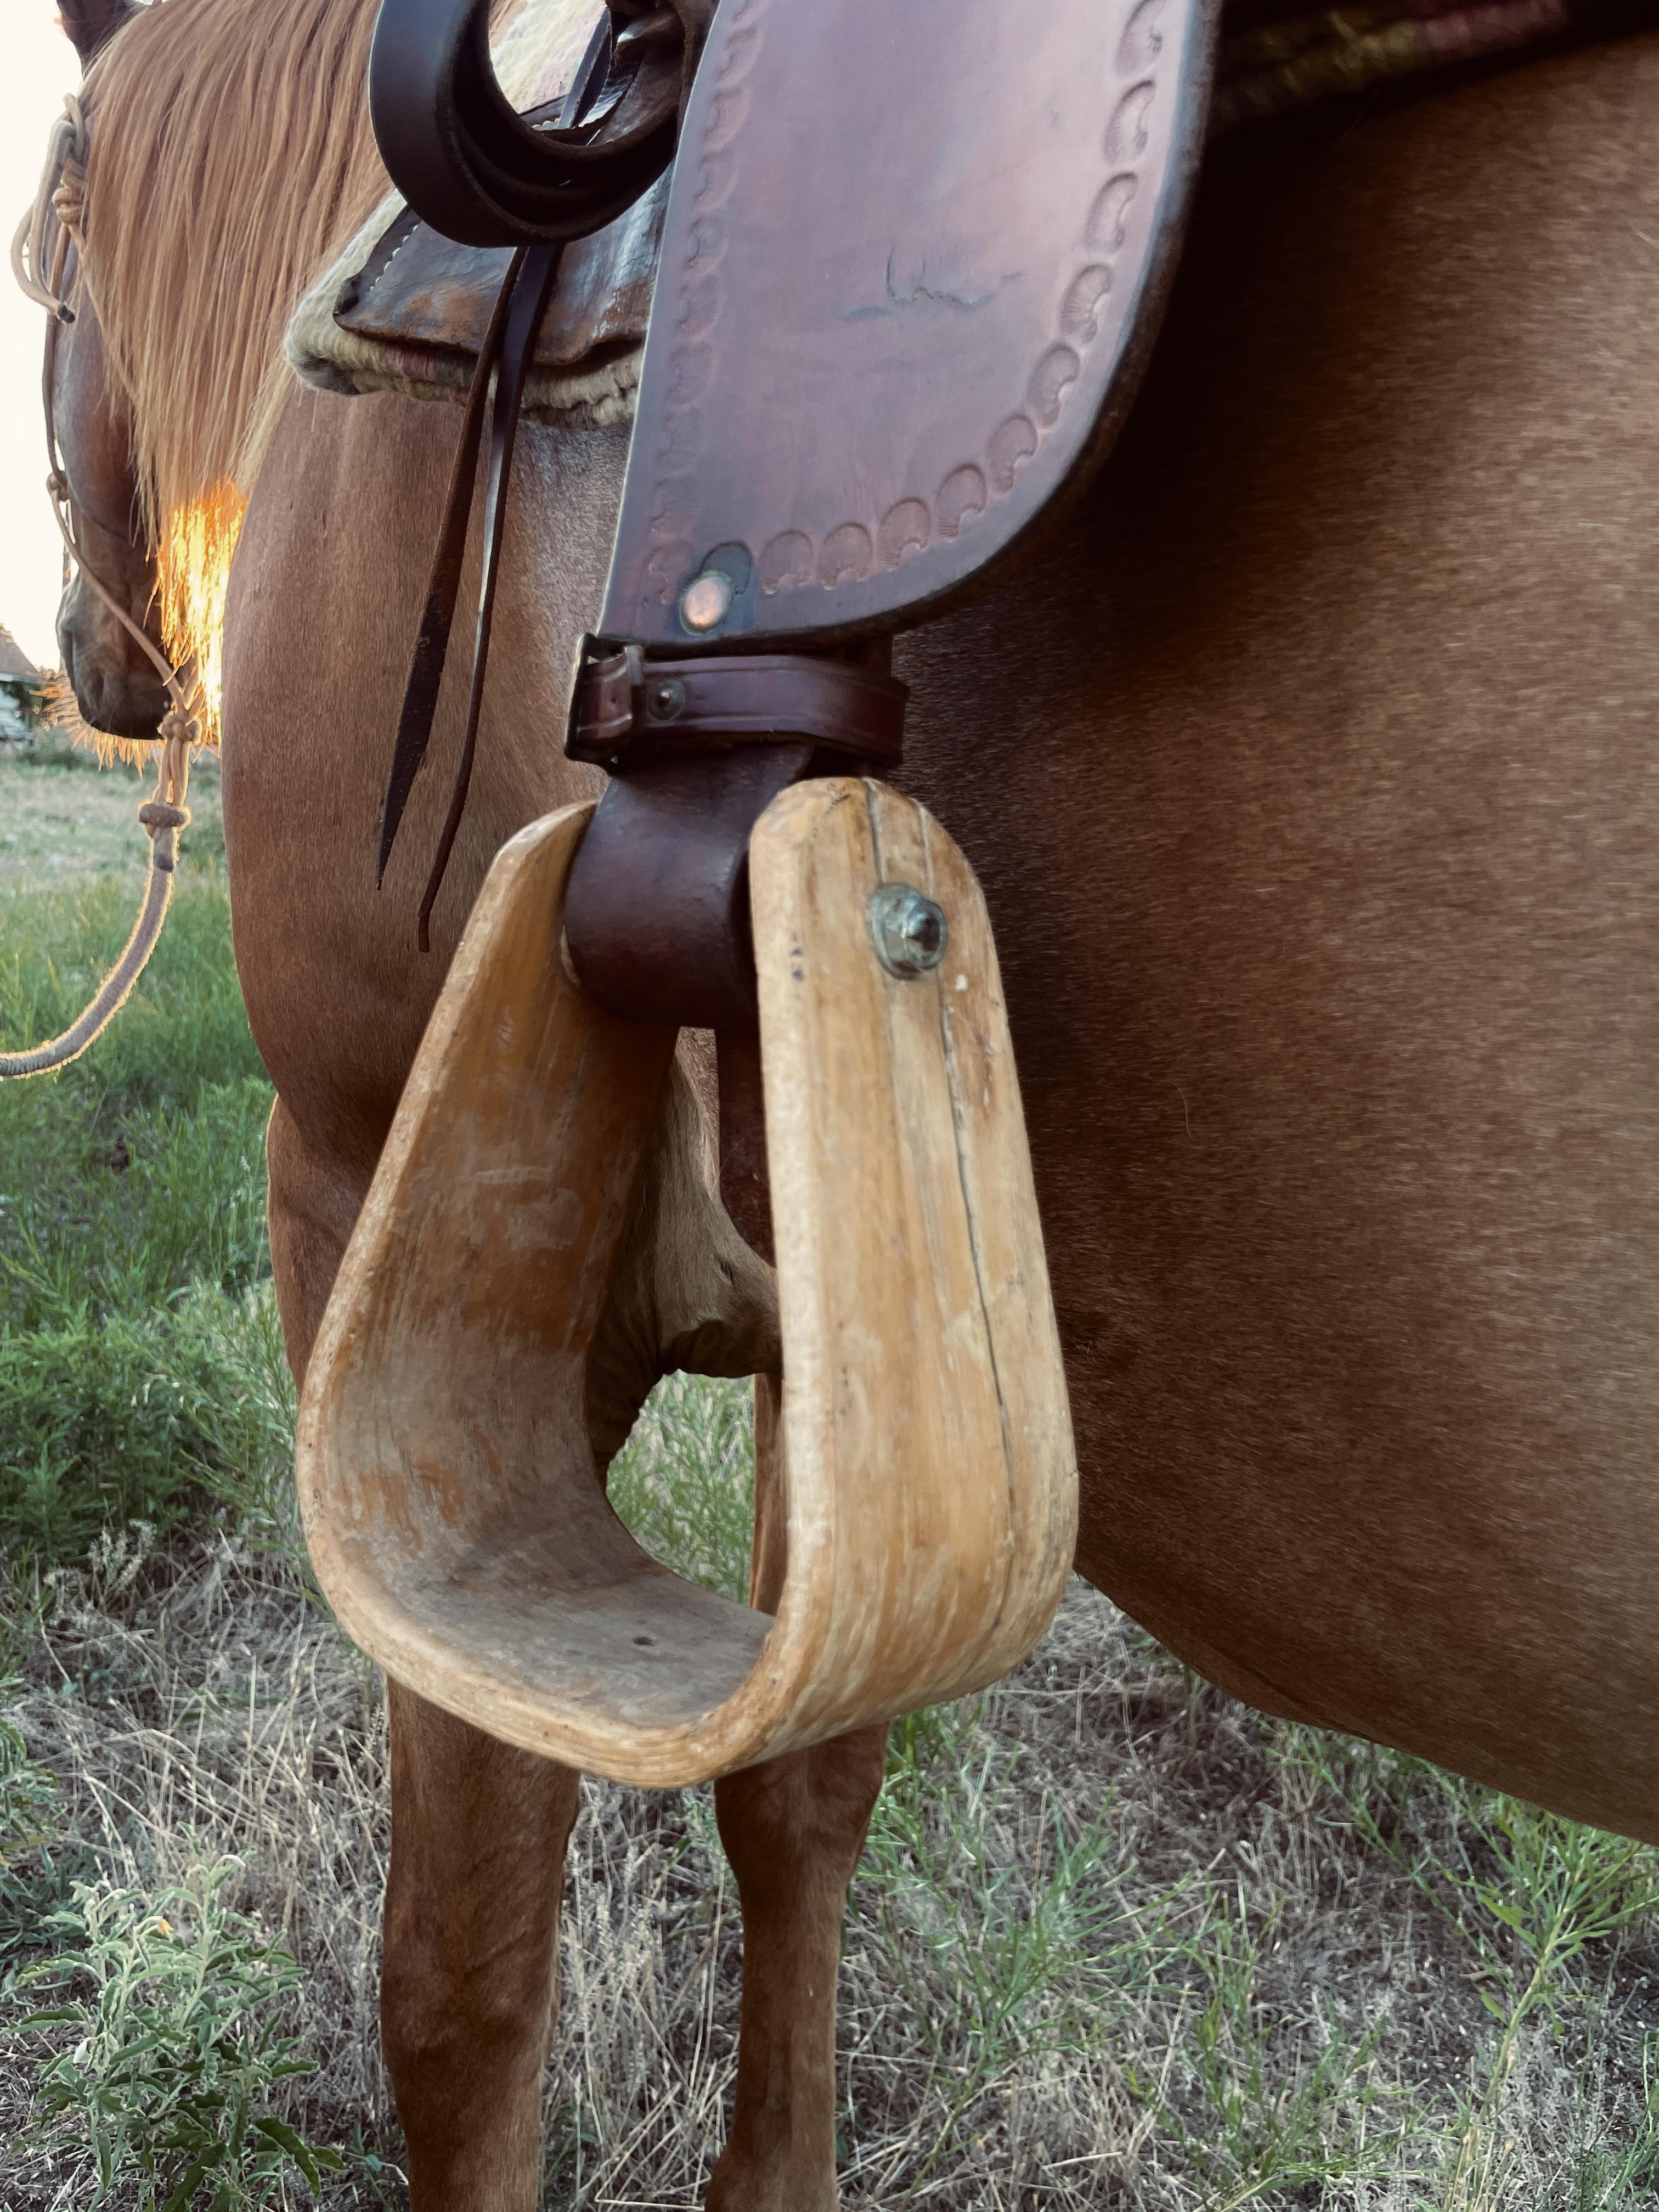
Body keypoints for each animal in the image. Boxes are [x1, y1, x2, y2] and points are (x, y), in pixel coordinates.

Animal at [42, 0, 1659, 2194]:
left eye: (39, 260)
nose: (92, 669)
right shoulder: (818, 1337)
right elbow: (801, 1804)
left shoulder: (349, 1158)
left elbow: (461, 1969)